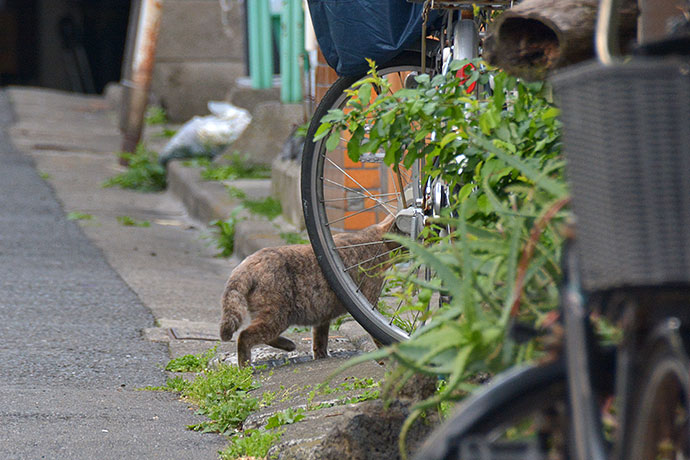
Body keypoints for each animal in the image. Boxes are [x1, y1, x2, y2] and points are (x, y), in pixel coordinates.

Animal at [218, 215, 400, 366]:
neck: (374, 242)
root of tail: (246, 264)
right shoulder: (369, 298)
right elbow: (377, 336)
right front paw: (387, 355)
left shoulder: (322, 317)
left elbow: (320, 339)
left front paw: (321, 356)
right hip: (277, 316)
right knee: (245, 336)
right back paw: (245, 367)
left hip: (272, 316)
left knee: (260, 335)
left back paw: (288, 345)